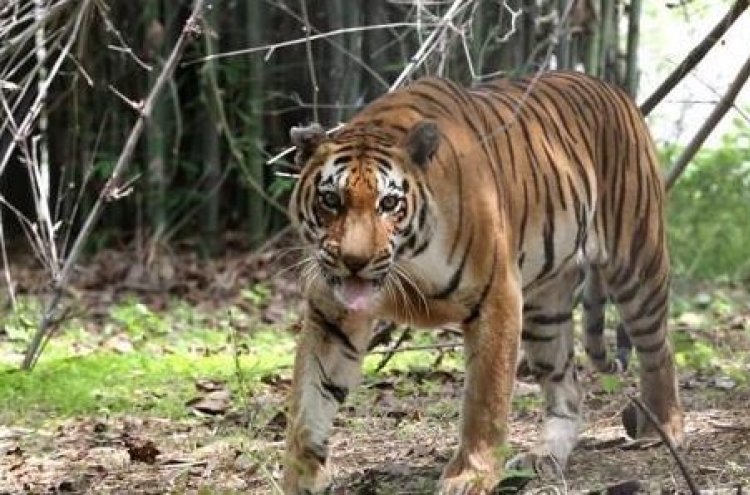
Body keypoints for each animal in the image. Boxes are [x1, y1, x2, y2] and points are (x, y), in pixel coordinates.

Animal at [284, 70, 688, 495]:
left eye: (388, 204)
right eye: (331, 200)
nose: (354, 262)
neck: (407, 262)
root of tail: (610, 87)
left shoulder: (497, 296)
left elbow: (485, 398)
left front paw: (470, 475)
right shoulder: (332, 316)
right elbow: (309, 404)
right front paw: (301, 478)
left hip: (637, 264)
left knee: (658, 349)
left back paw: (662, 429)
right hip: (546, 308)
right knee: (568, 389)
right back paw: (543, 457)